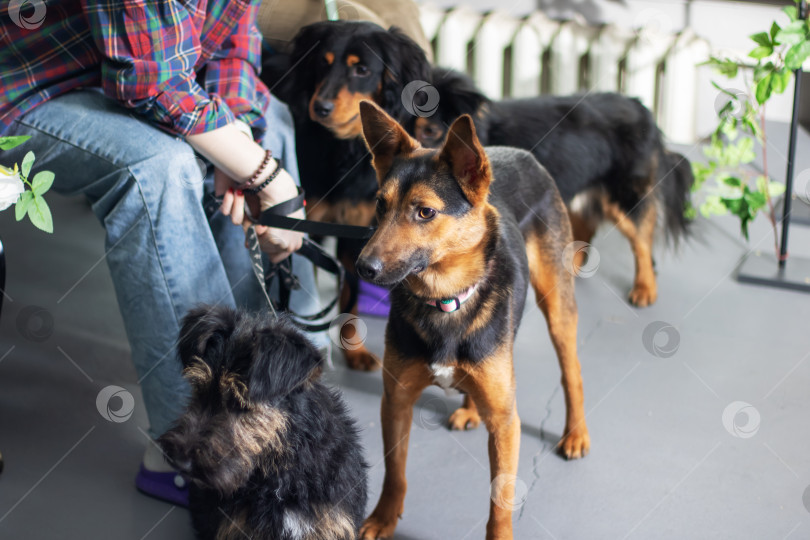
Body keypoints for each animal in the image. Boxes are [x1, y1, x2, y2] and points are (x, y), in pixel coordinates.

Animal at [354, 102, 588, 540]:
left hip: (558, 307)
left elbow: (500, 500)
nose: (363, 267)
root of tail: (523, 154)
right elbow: (395, 472)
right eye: (379, 204)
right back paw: (469, 409)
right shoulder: (395, 402)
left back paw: (576, 433)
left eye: (425, 212)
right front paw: (383, 518)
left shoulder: (507, 425)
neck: (445, 300)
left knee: (572, 371)